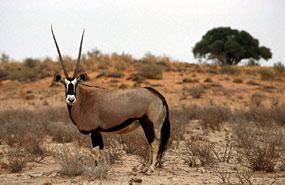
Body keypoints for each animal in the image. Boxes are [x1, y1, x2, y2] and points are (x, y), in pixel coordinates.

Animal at [51, 26, 170, 172]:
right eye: (65, 84)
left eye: (76, 83)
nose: (71, 99)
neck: (84, 100)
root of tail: (158, 95)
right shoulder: (98, 131)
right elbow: (102, 150)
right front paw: (105, 167)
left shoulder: (94, 130)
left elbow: (95, 151)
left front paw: (96, 169)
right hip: (151, 124)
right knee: (152, 143)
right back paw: (145, 168)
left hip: (148, 123)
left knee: (154, 143)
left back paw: (151, 169)